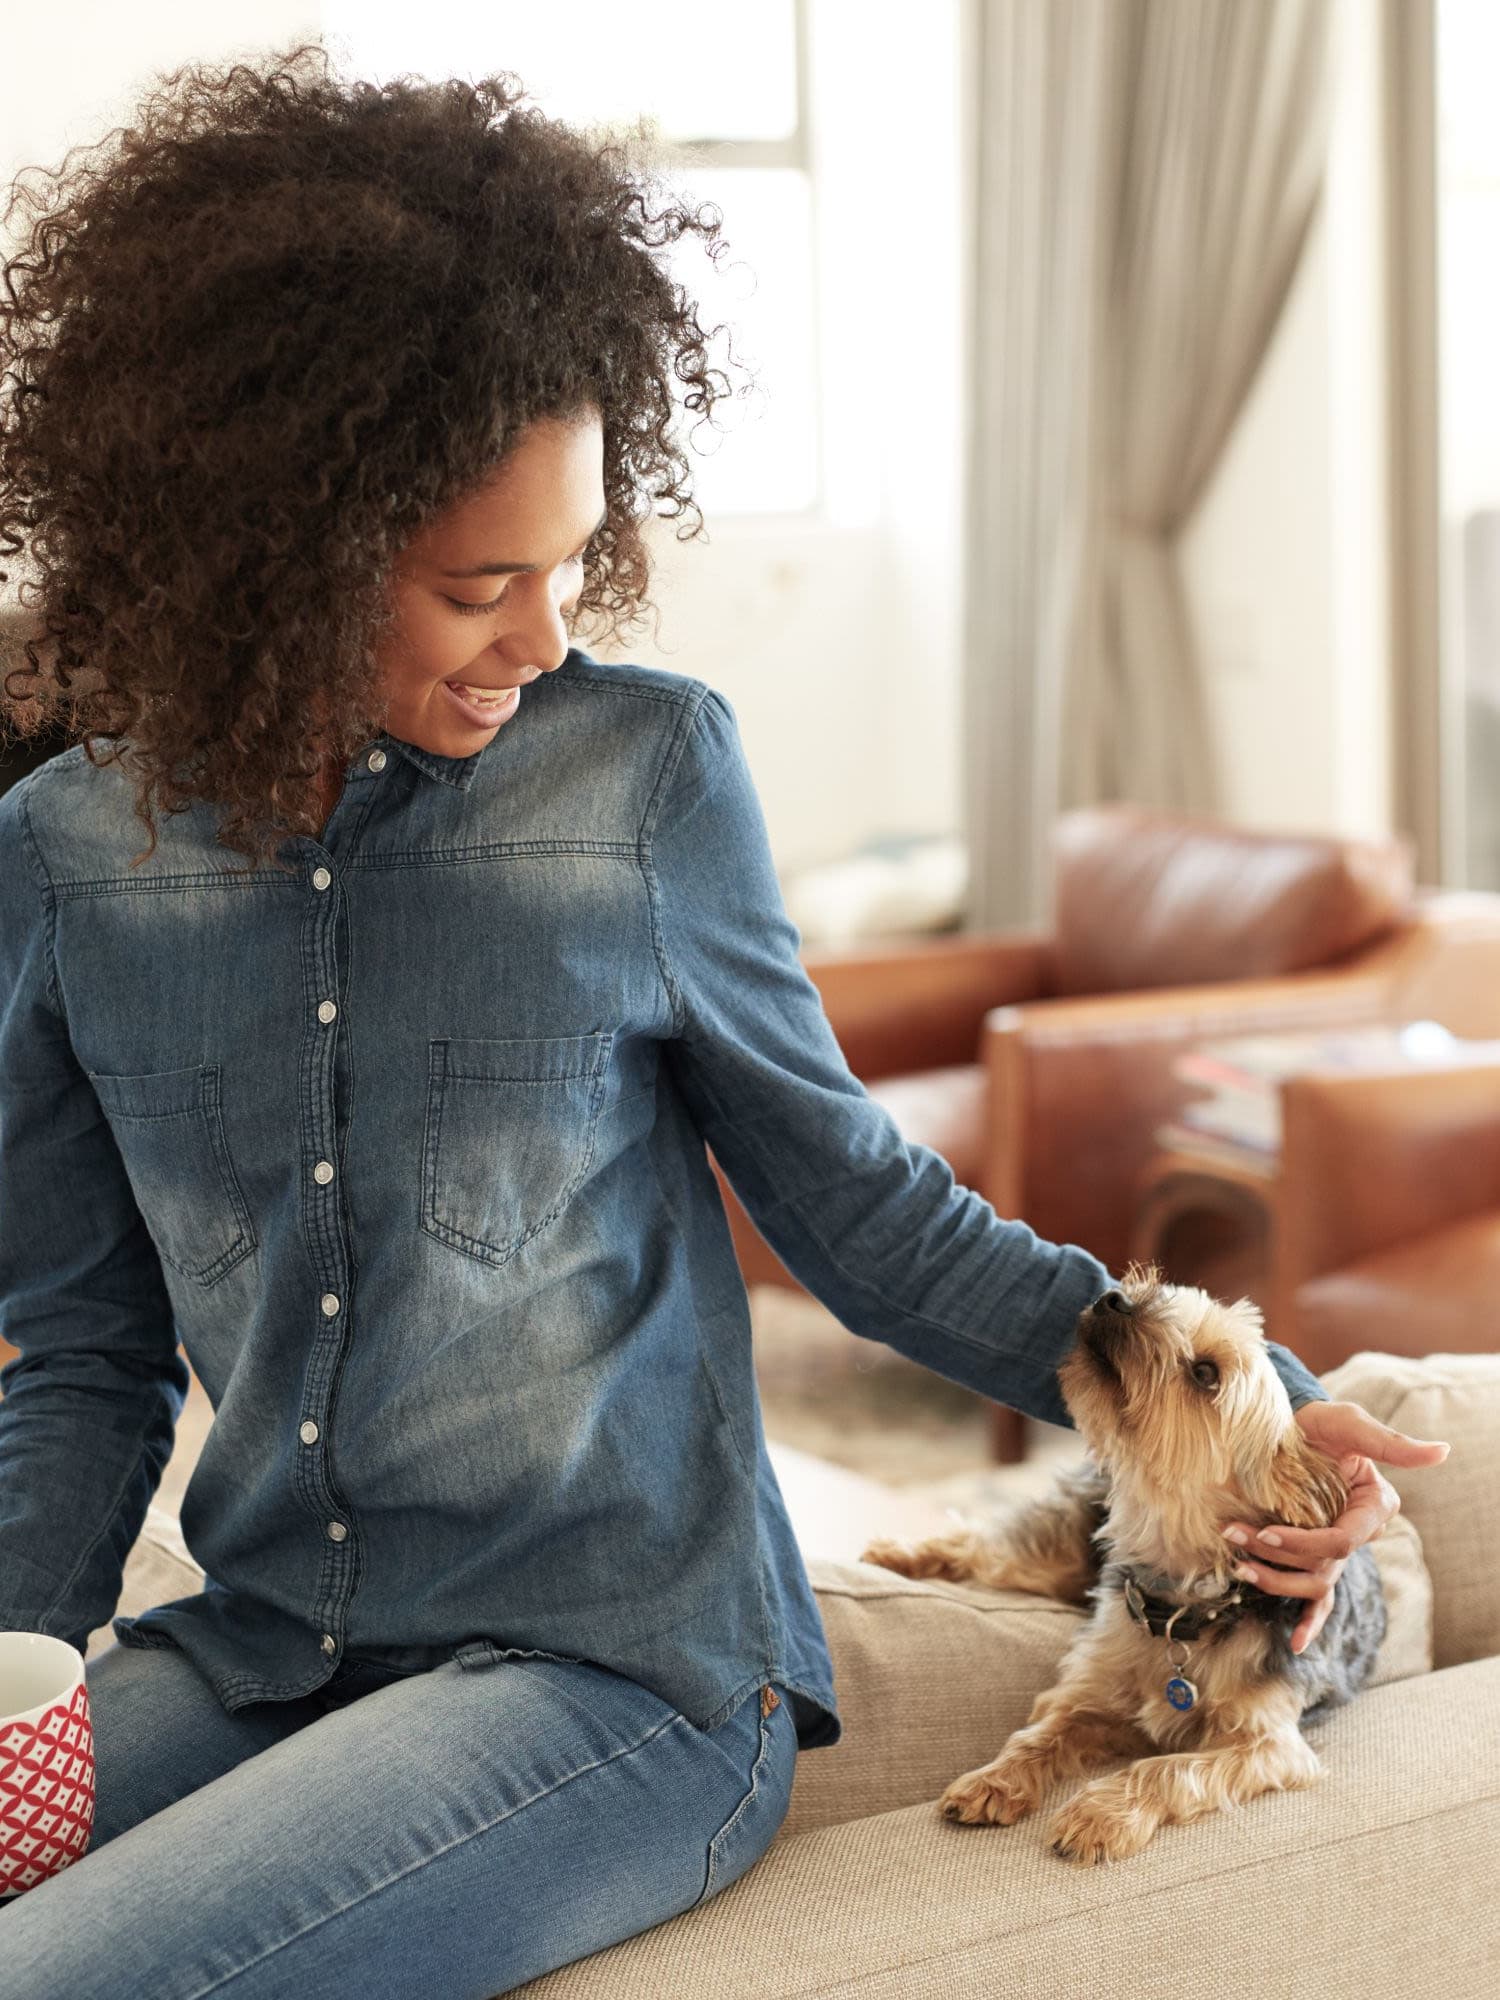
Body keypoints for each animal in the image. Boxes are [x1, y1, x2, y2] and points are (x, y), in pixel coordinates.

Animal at [864, 1264, 1392, 1856]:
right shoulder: (1088, 1690)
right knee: (984, 1546)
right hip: (1059, 1554)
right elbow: (1040, 1732)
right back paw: (896, 1554)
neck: (1184, 1602)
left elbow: (1168, 1768)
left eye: (1206, 1373)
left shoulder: (1268, 1746)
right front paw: (995, 1780)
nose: (1114, 1298)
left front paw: (1099, 1813)